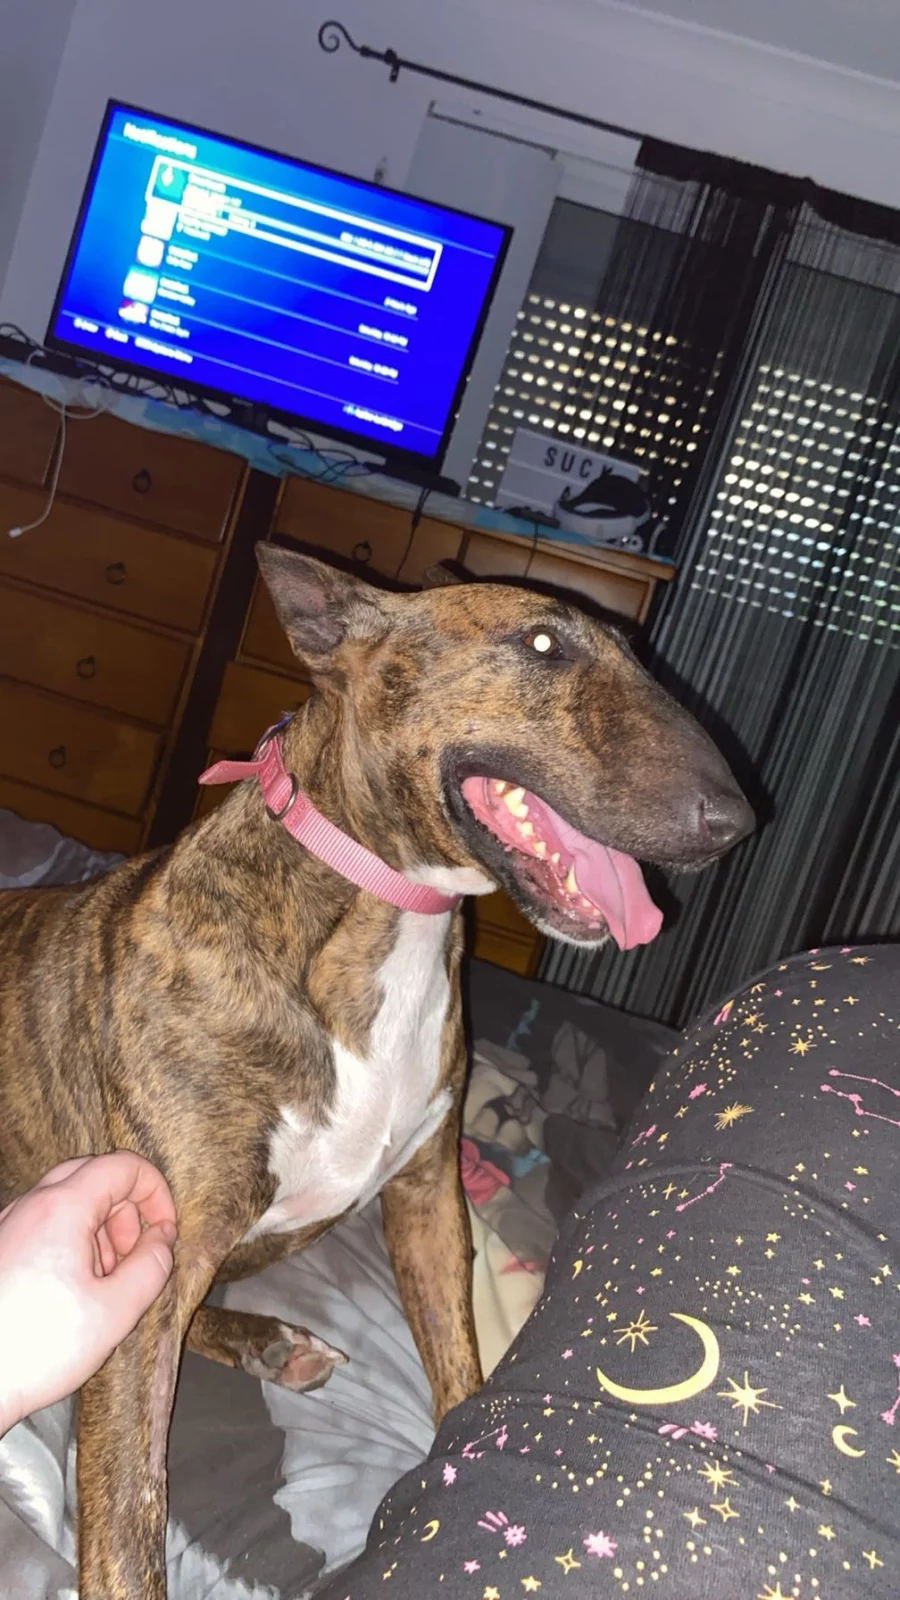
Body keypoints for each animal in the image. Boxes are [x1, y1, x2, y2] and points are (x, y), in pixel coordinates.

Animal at [0, 546, 753, 1597]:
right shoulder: (146, 1261)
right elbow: (127, 1524)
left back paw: (270, 1341)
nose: (736, 821)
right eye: (543, 644)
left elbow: (457, 1363)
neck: (386, 918)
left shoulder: (429, 1195)